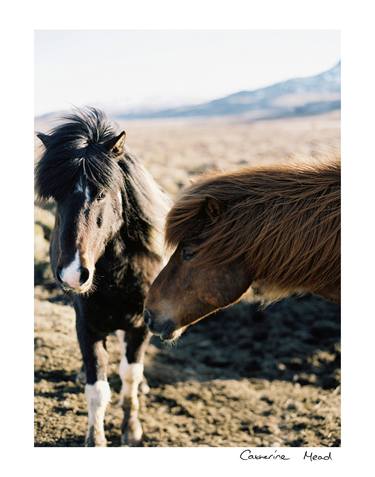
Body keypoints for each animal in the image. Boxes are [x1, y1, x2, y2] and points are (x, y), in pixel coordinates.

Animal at [35, 109, 170, 446]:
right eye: (56, 197)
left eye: (101, 194)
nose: (73, 273)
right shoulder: (88, 324)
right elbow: (97, 388)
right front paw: (95, 439)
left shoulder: (140, 324)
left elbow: (130, 376)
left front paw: (131, 430)